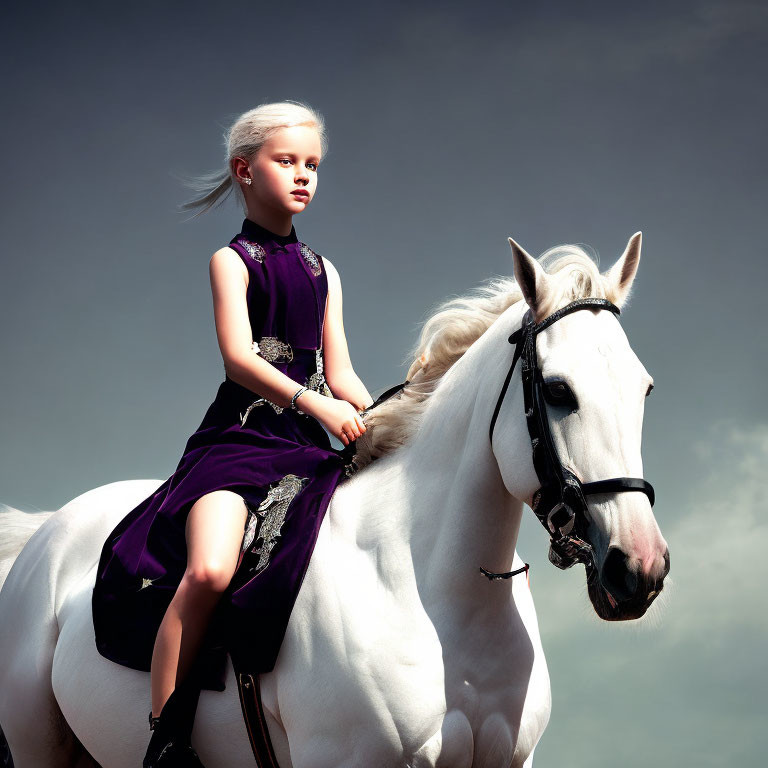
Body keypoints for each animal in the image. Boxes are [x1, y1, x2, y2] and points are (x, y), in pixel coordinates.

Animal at [0, 236, 664, 768]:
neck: (435, 589)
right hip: (37, 745)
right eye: (558, 391)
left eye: (645, 389)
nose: (639, 569)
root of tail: (46, 537)